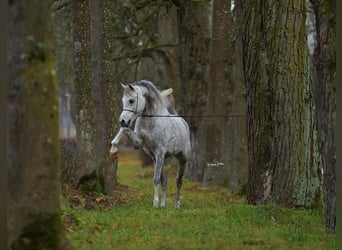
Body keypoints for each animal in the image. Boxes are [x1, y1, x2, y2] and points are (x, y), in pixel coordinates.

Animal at [109, 80, 191, 209]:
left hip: (182, 159)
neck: (152, 120)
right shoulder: (140, 144)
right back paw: (163, 204)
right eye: (123, 100)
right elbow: (124, 130)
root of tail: (182, 121)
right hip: (160, 159)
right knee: (165, 181)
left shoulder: (159, 152)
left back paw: (177, 204)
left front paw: (155, 203)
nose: (122, 121)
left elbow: (155, 179)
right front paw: (113, 150)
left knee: (179, 180)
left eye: (131, 100)